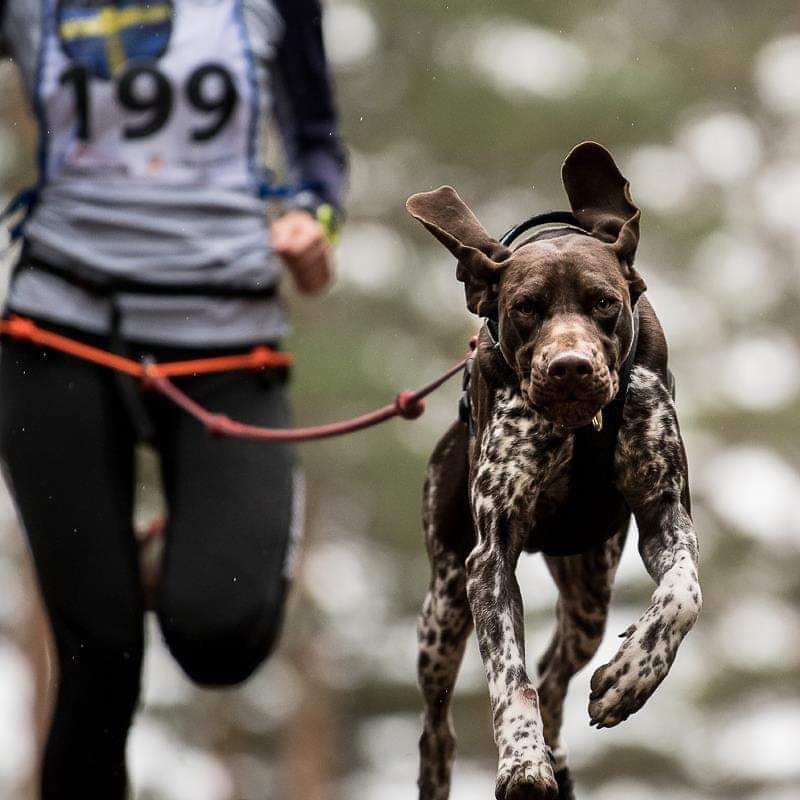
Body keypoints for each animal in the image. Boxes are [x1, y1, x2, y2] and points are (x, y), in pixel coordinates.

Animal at [406, 144, 700, 800]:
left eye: (605, 303)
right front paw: (521, 759)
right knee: (438, 725)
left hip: (589, 591)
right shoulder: (488, 559)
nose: (569, 367)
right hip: (444, 608)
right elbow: (508, 674)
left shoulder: (665, 512)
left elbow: (682, 595)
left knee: (557, 673)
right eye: (525, 308)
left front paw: (630, 678)